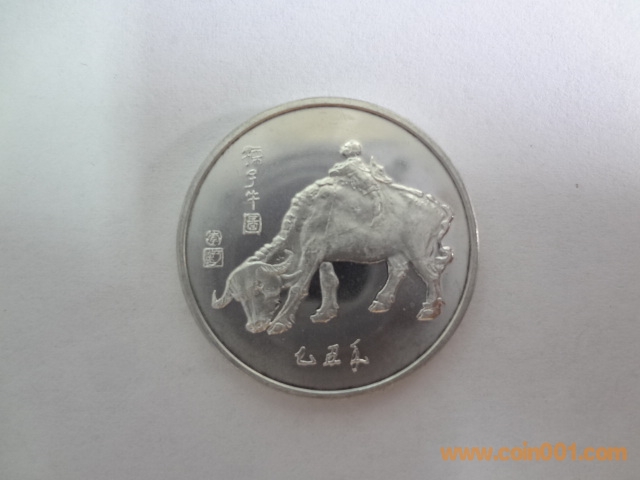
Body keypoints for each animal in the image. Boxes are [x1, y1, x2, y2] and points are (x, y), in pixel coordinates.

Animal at [211, 146, 454, 335]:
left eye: (259, 291)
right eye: (240, 298)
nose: (254, 326)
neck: (308, 216)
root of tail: (439, 208)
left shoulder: (312, 255)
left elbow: (298, 287)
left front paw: (280, 323)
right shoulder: (324, 258)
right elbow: (329, 282)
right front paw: (324, 313)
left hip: (419, 252)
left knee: (432, 275)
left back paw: (430, 310)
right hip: (395, 252)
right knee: (397, 271)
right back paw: (381, 302)